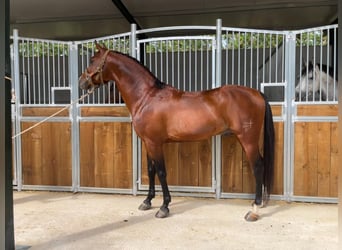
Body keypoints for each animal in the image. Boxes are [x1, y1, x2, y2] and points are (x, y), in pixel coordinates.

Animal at [78, 44, 276, 222]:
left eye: (92, 60)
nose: (81, 82)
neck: (147, 97)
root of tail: (257, 93)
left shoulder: (155, 143)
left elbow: (161, 172)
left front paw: (164, 207)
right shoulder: (148, 142)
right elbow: (150, 170)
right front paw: (147, 201)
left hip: (248, 139)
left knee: (258, 166)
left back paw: (254, 210)